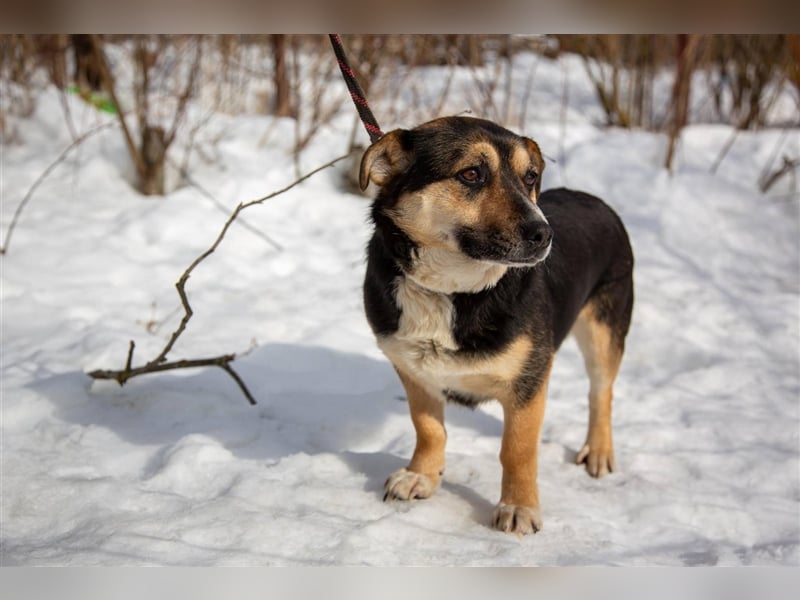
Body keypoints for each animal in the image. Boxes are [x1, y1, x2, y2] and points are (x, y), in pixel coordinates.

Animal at [360, 117, 632, 536]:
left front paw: (518, 506)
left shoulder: (529, 381)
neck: (452, 292)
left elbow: (517, 449)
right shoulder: (413, 371)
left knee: (601, 393)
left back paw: (599, 451)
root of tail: (595, 199)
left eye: (530, 176)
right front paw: (422, 475)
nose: (544, 235)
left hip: (605, 331)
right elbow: (428, 428)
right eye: (471, 174)